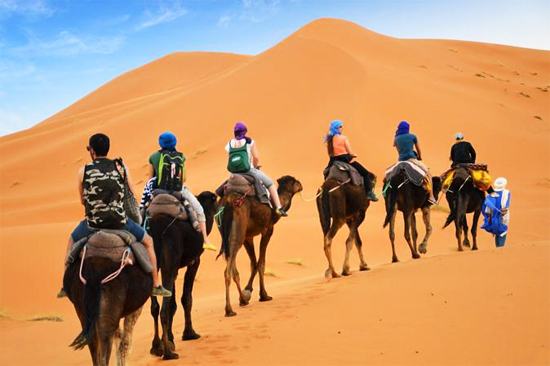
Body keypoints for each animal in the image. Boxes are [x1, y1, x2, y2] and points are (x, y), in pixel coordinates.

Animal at [148, 192, 219, 360]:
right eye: (216, 200)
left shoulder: (175, 268)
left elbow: (173, 303)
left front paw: (170, 338)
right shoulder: (194, 261)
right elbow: (186, 298)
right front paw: (190, 333)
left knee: (155, 306)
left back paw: (156, 346)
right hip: (169, 263)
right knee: (163, 310)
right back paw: (168, 353)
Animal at [217, 176, 304, 316]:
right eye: (295, 181)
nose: (301, 184)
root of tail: (229, 202)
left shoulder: (248, 237)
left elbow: (254, 263)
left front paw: (247, 293)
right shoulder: (268, 230)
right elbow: (261, 263)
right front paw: (264, 295)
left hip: (225, 234)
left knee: (233, 267)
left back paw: (242, 301)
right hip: (238, 231)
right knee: (228, 271)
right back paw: (229, 310)